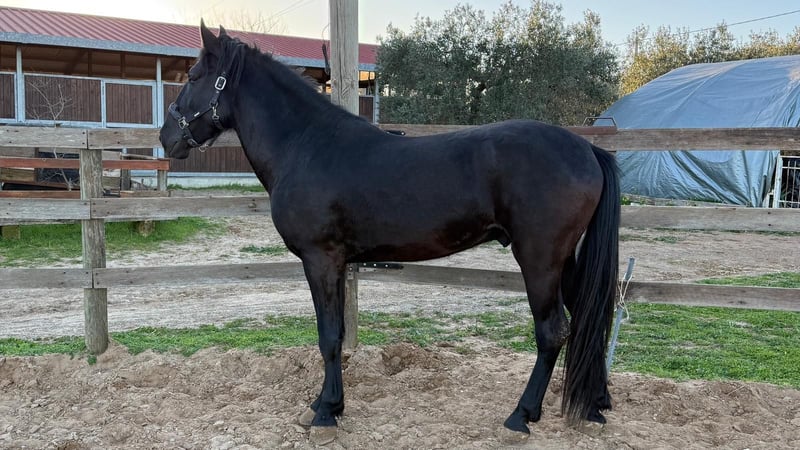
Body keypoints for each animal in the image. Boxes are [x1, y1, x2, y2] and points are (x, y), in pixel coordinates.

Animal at [159, 22, 620, 441]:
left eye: (194, 76)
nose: (166, 137)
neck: (306, 145)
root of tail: (587, 148)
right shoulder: (337, 263)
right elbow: (335, 334)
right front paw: (325, 404)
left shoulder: (321, 260)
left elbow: (329, 336)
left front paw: (326, 413)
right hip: (566, 260)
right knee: (588, 320)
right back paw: (594, 407)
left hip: (540, 260)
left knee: (552, 332)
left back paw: (520, 417)